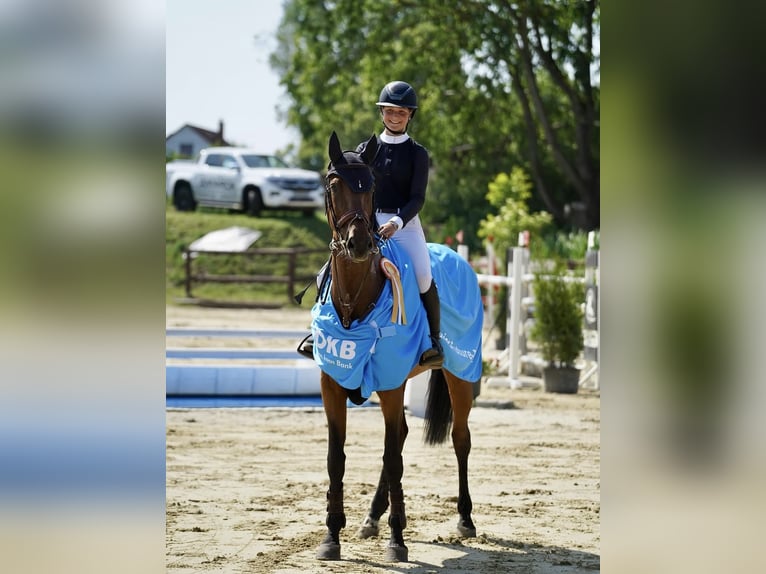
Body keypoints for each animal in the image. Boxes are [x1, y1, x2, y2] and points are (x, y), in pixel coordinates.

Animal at [312, 131, 481, 563]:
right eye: (333, 186)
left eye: (370, 187)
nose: (358, 245)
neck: (355, 299)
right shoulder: (331, 382)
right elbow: (336, 458)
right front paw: (331, 536)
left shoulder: (390, 382)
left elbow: (393, 458)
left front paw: (397, 541)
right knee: (401, 436)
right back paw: (372, 517)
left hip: (460, 374)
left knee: (459, 439)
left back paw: (465, 519)